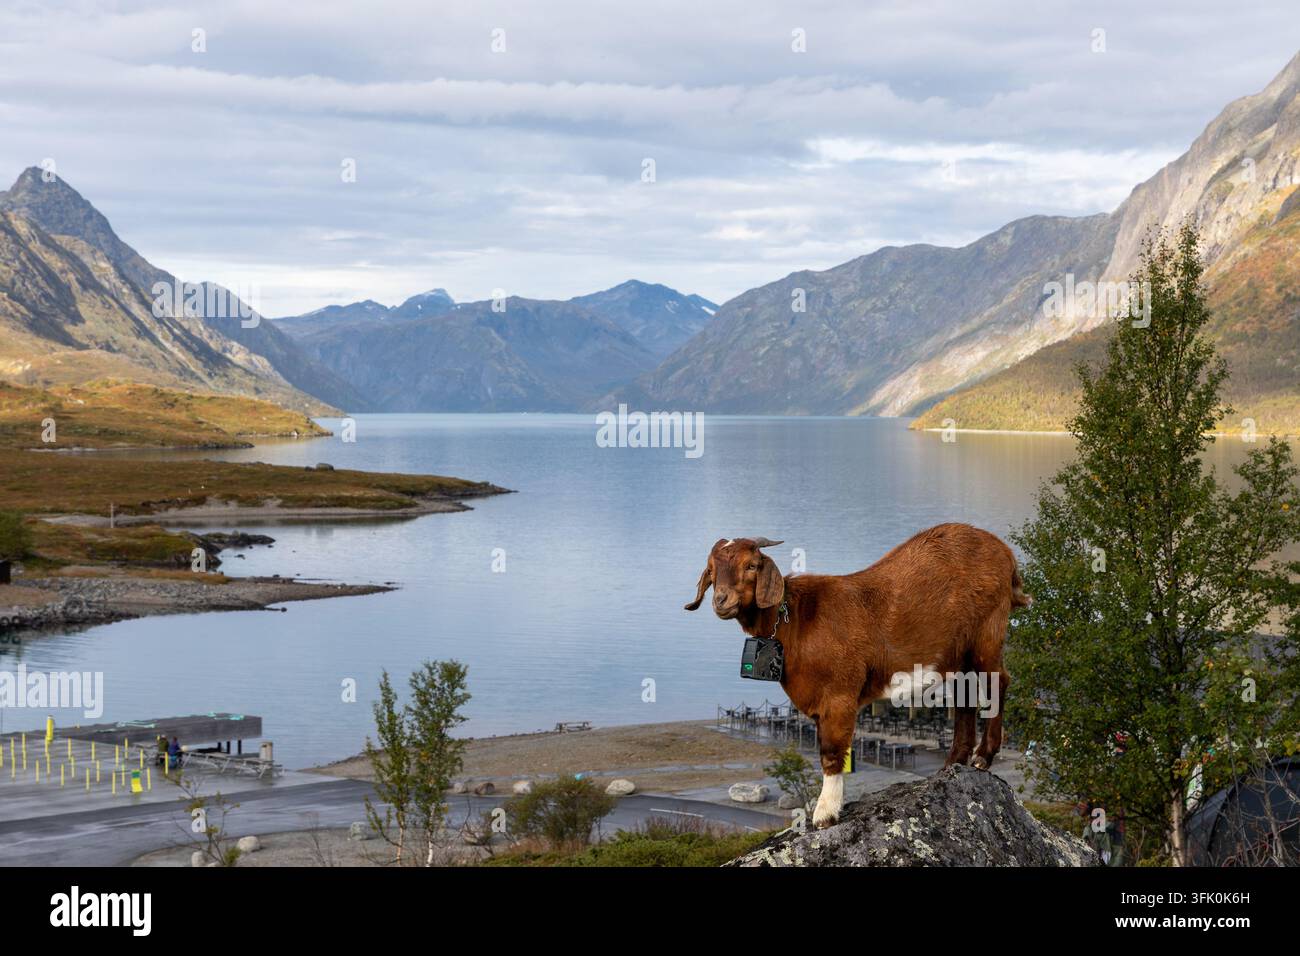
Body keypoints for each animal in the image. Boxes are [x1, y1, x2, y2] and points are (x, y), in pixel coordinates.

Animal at [685, 523, 1030, 828]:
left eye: (752, 565)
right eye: (711, 569)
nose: (721, 601)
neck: (795, 621)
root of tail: (1005, 553)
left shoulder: (839, 695)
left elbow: (832, 752)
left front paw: (825, 814)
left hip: (987, 632)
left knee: (998, 682)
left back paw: (983, 757)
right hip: (958, 653)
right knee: (965, 695)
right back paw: (953, 762)